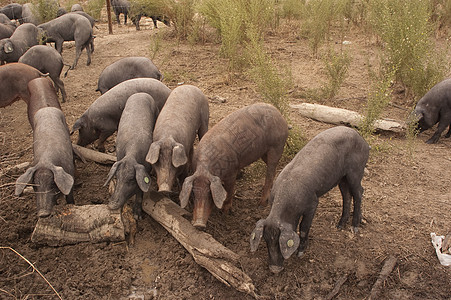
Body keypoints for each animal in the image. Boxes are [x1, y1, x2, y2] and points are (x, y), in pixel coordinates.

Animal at [249, 125, 370, 274]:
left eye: (279, 243)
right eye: (266, 241)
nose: (274, 269)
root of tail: (362, 139)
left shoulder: (313, 203)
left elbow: (304, 227)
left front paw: (300, 254)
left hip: (356, 171)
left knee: (359, 192)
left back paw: (355, 228)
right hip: (342, 178)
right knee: (347, 195)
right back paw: (340, 226)